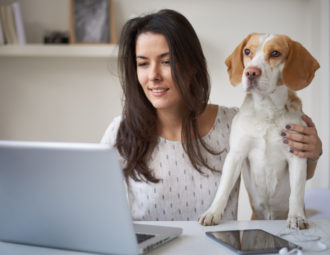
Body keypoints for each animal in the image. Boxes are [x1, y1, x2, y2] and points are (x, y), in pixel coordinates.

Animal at [200, 33, 318, 229]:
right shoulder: (236, 155)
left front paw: (296, 217)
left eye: (275, 53)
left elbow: (296, 192)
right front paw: (213, 212)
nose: (250, 72)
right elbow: (223, 188)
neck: (266, 112)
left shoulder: (296, 154)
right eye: (247, 51)